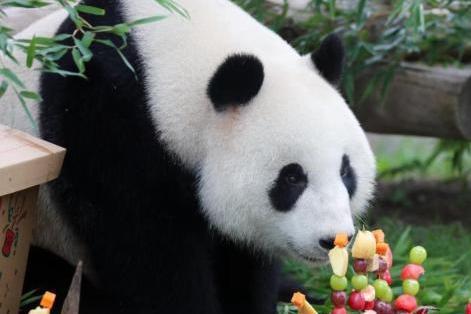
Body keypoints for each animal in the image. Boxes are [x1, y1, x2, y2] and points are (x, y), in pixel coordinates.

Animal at [0, 1, 376, 312]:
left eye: (346, 171)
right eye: (292, 177)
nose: (334, 239)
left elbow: (245, 258)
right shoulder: (102, 120)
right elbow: (148, 247)